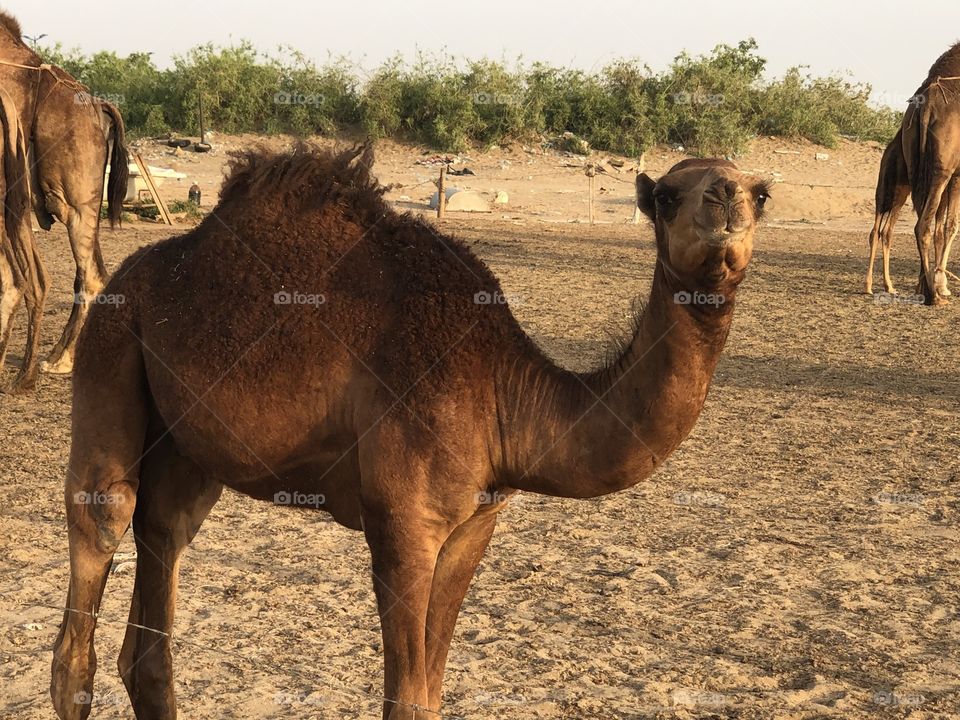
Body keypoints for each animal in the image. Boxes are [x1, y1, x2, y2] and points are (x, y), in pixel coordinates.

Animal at [0, 11, 128, 390]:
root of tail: (98, 106)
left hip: (72, 201)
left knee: (87, 275)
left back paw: (56, 361)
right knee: (93, 273)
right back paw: (57, 360)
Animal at [51, 144, 770, 720]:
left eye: (760, 193)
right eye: (667, 196)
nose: (726, 200)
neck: (501, 386)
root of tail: (131, 273)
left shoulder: (477, 522)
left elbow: (429, 693)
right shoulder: (403, 522)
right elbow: (405, 698)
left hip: (185, 445)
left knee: (164, 540)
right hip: (113, 342)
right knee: (103, 526)